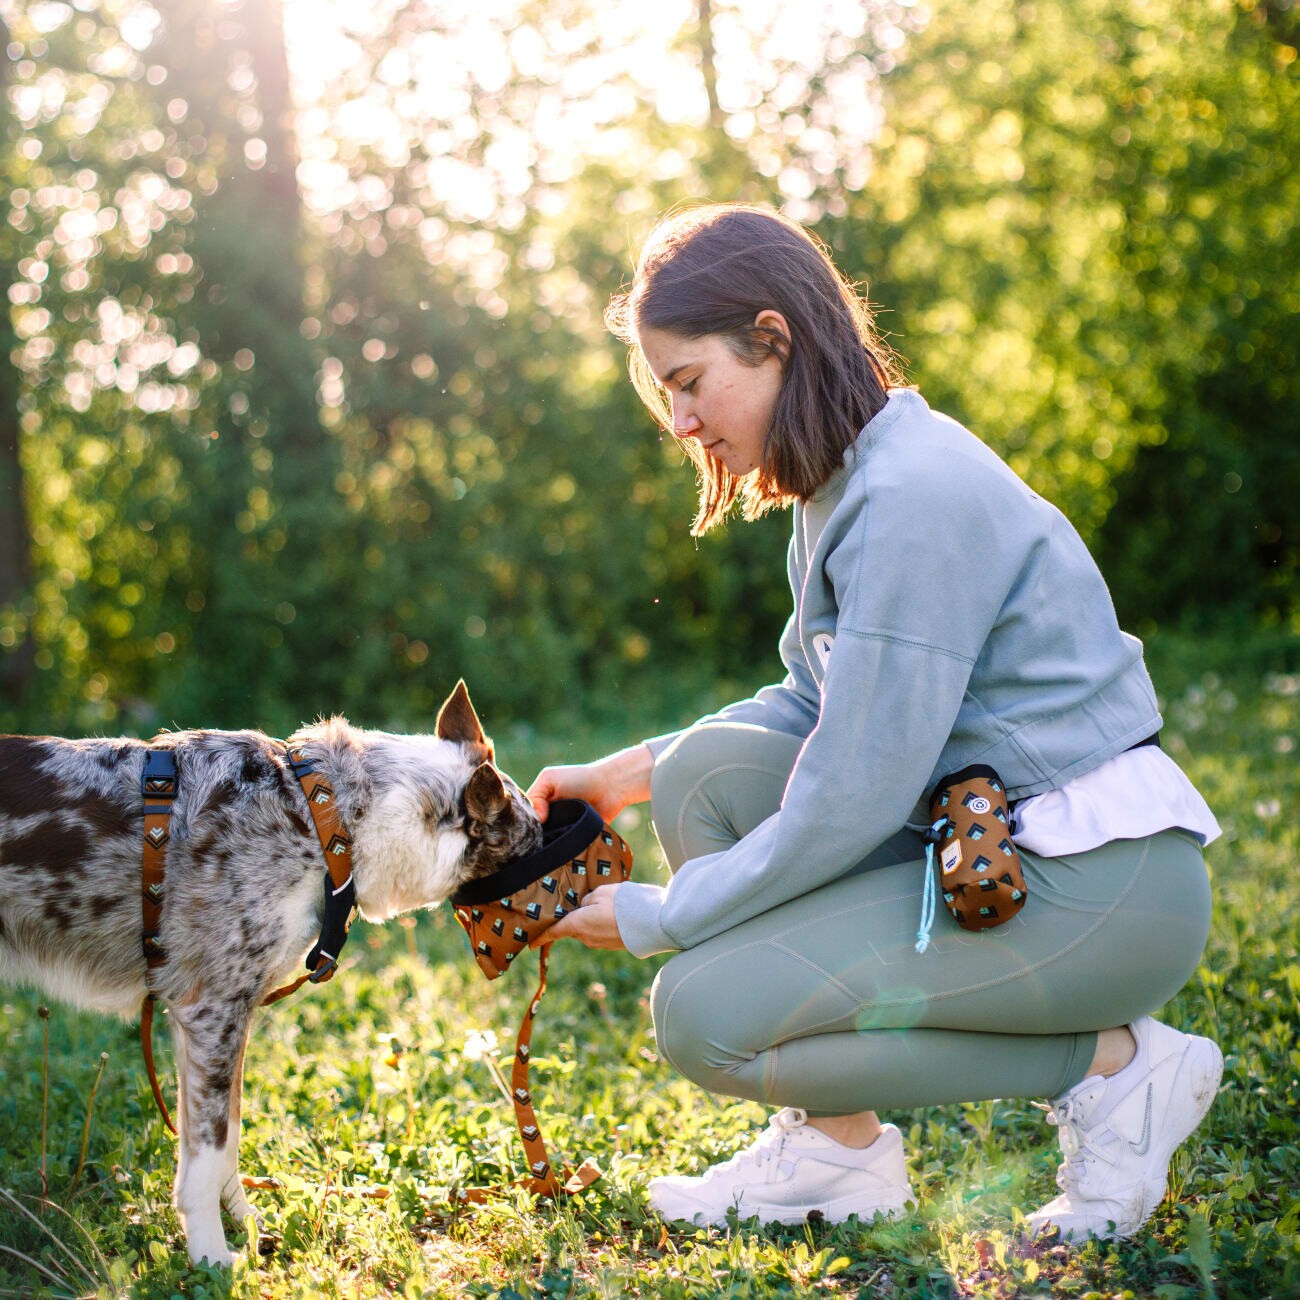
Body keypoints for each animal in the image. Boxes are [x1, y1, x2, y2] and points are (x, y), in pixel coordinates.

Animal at [0, 681, 541, 1266]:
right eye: (536, 846)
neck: (328, 819)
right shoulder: (213, 1012)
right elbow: (208, 1155)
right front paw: (213, 1261)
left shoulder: (203, 1024)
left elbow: (223, 1142)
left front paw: (247, 1224)